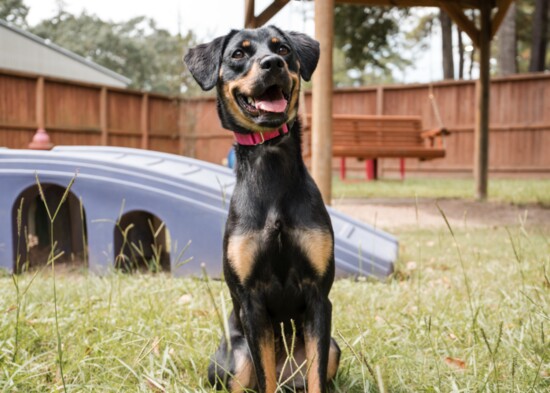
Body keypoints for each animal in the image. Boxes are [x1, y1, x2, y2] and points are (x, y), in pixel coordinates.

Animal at [185, 25, 340, 392]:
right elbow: (264, 374)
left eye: (282, 49)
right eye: (238, 54)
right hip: (236, 357)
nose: (272, 64)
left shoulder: (318, 297)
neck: (269, 162)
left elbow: (317, 378)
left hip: (334, 348)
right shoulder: (252, 302)